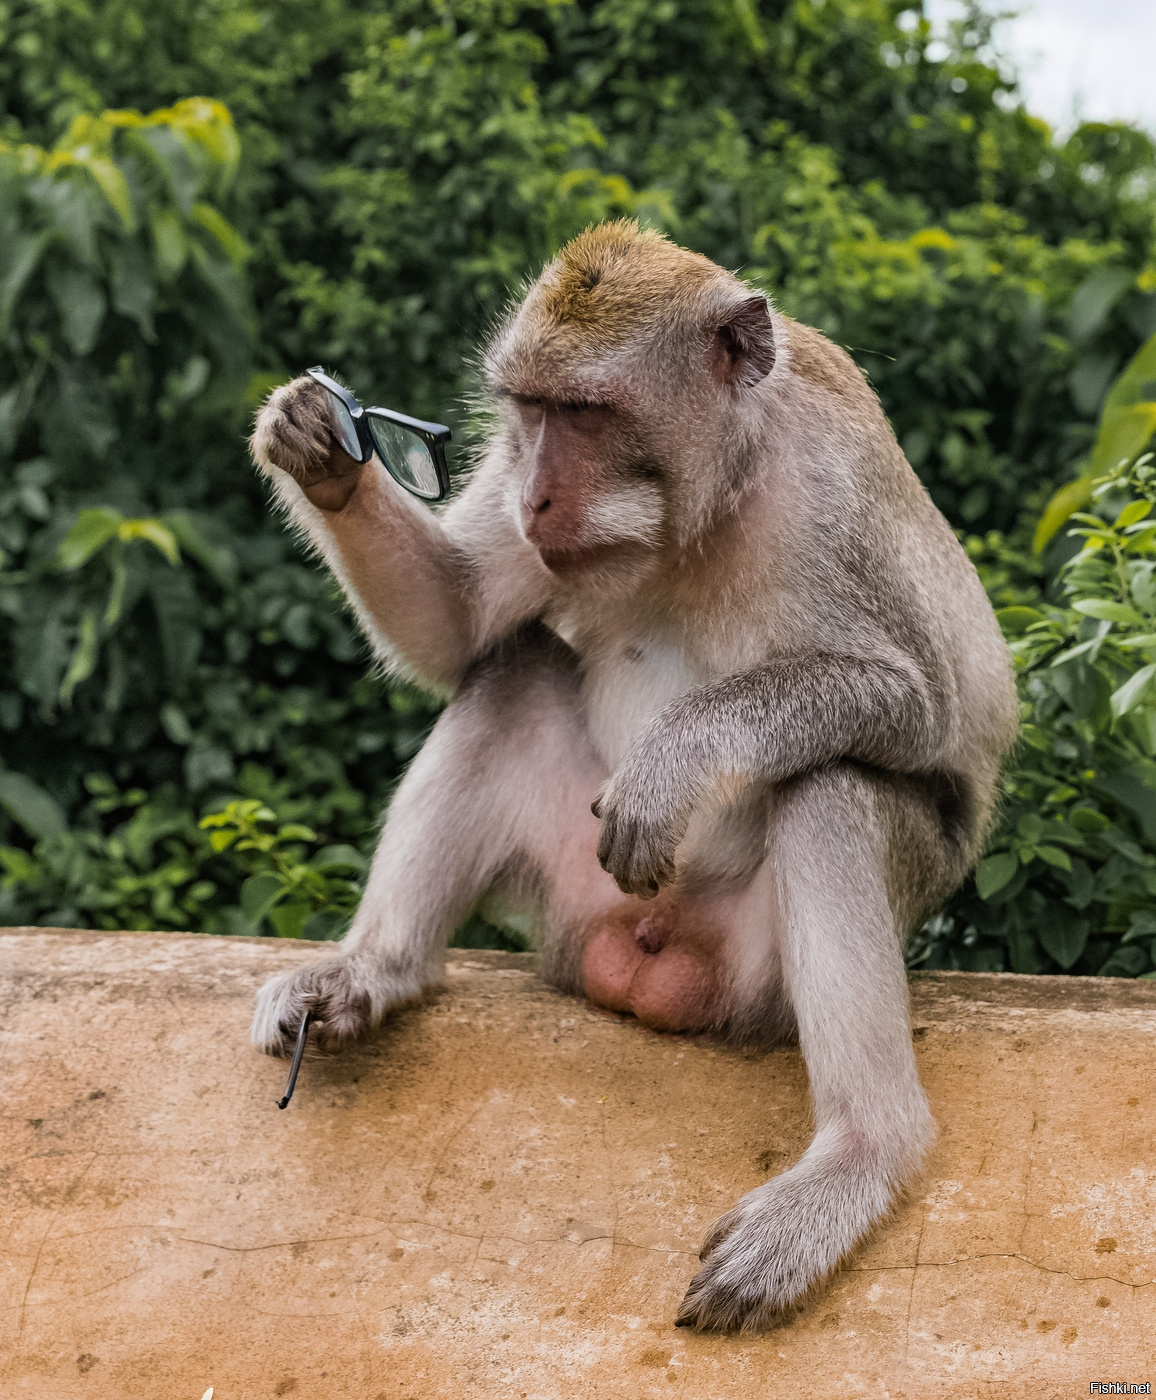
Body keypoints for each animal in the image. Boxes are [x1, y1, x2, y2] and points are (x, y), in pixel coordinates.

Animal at [247, 221, 1013, 1332]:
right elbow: (464, 622)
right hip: (578, 895)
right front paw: (316, 443)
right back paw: (374, 968)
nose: (533, 493)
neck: (709, 500)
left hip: (756, 966)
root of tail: (654, 955)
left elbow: (923, 706)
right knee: (512, 670)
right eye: (529, 412)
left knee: (826, 785)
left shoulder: (829, 491)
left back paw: (860, 1156)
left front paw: (677, 758)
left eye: (587, 412)